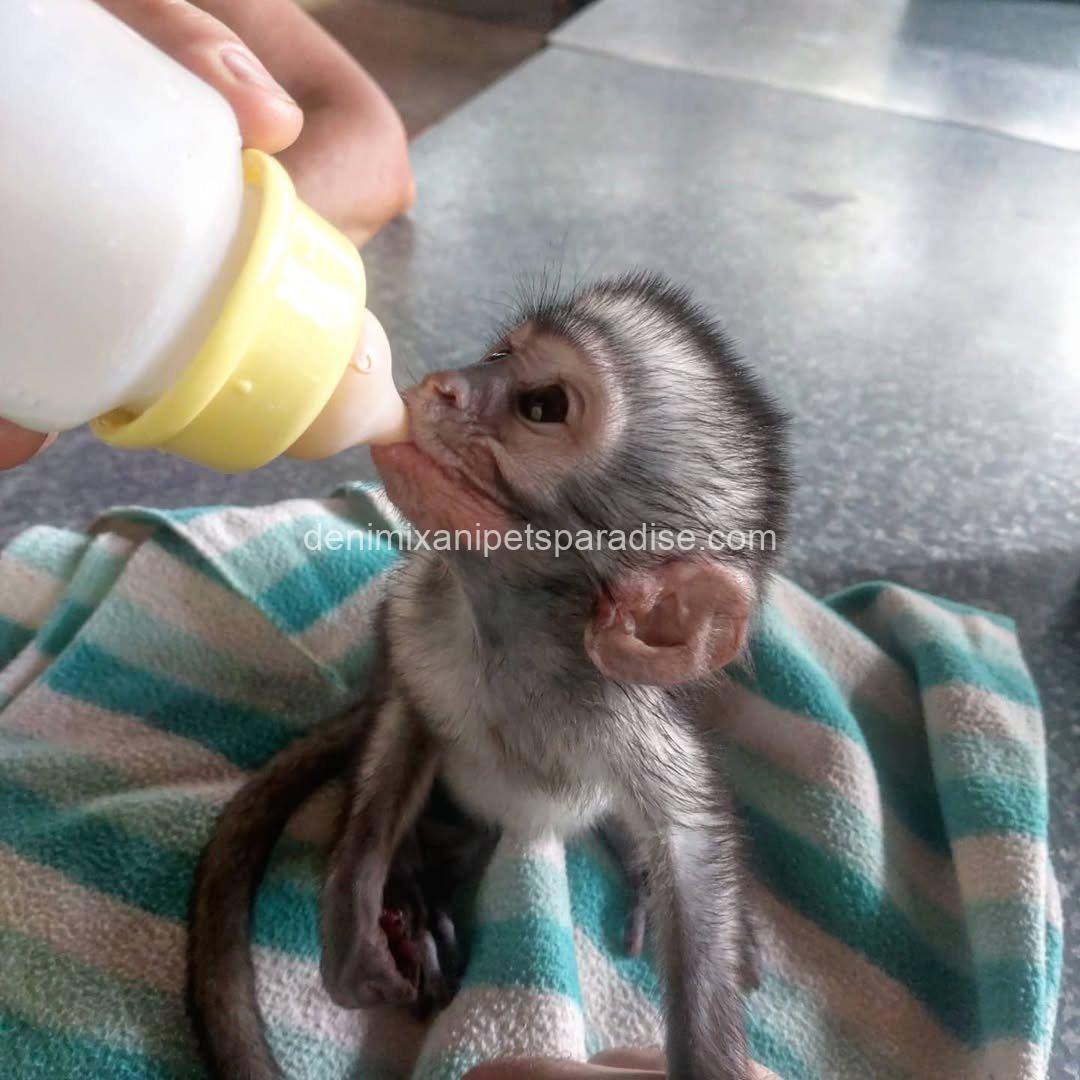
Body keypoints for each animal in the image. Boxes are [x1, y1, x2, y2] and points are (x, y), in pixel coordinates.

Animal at [187, 271, 791, 1080]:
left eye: (543, 406)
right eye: (500, 354)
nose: (446, 384)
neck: (508, 644)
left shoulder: (626, 714)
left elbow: (690, 847)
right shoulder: (420, 623)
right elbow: (405, 726)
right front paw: (358, 908)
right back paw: (418, 897)